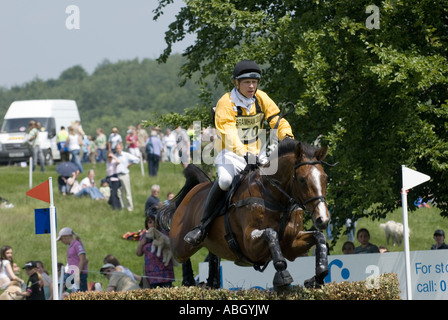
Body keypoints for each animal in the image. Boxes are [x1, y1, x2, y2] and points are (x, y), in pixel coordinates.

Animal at [157, 139, 332, 288]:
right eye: (302, 179)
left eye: (325, 177)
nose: (323, 219)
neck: (274, 195)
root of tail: (196, 189)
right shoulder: (249, 244)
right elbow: (270, 233)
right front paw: (283, 275)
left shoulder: (291, 244)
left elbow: (319, 237)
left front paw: (319, 276)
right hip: (181, 244)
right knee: (180, 255)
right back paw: (189, 280)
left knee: (213, 256)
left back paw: (212, 283)